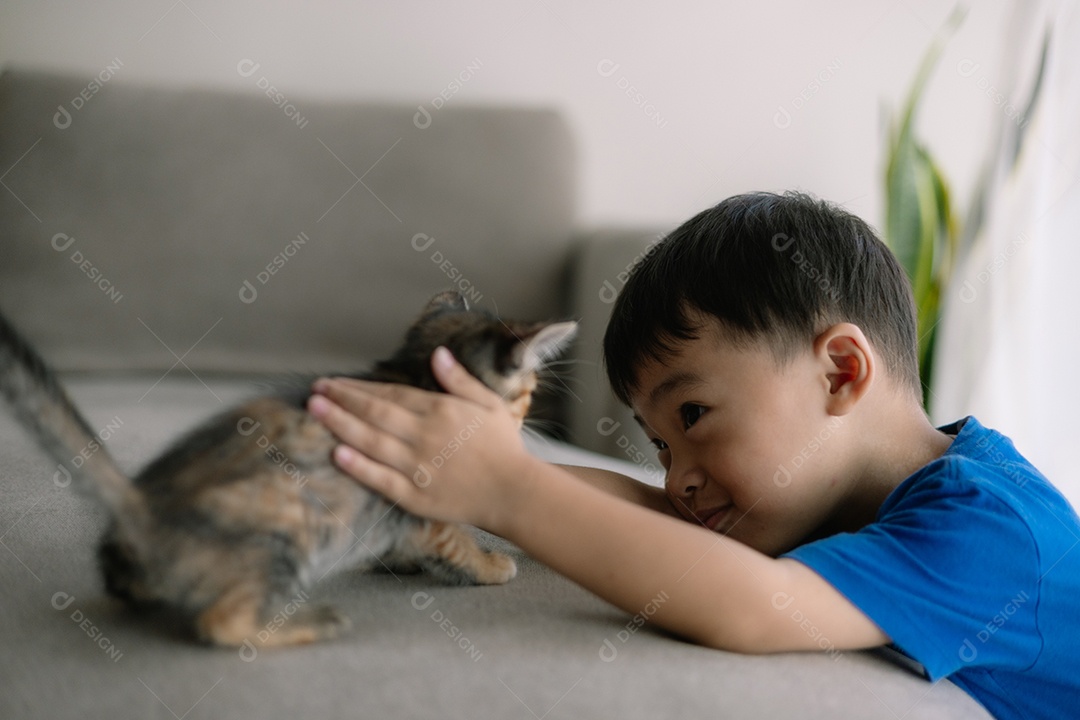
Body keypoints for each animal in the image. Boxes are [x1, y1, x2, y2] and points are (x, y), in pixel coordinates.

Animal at [0, 291, 578, 647]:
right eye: (528, 392)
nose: (525, 422)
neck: (411, 381)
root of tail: (141, 504)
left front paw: (397, 561)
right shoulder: (424, 500)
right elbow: (455, 541)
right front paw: (490, 565)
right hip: (290, 525)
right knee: (221, 624)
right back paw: (314, 622)